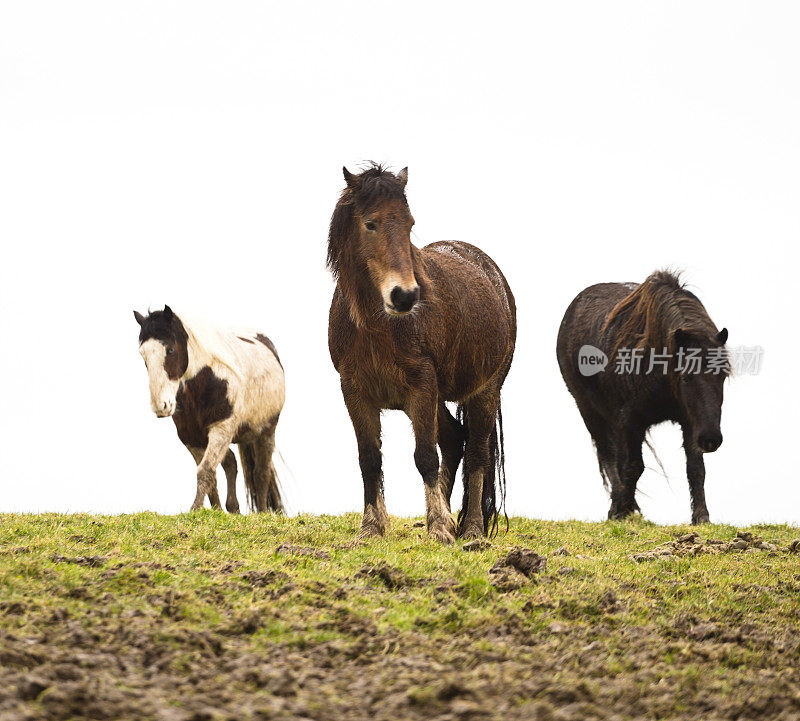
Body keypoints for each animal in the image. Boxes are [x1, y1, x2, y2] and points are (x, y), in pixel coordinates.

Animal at [328, 165, 516, 540]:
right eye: (370, 223)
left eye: (409, 223)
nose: (405, 296)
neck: (376, 327)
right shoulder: (354, 390)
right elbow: (369, 458)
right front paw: (371, 528)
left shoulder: (422, 385)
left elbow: (426, 456)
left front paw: (440, 528)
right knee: (455, 440)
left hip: (484, 392)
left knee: (476, 453)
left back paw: (471, 529)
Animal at [560, 270, 728, 524]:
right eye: (686, 377)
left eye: (723, 376)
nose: (711, 440)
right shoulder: (630, 421)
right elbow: (632, 466)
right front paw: (621, 510)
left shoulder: (690, 421)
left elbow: (696, 468)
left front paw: (701, 517)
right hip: (588, 410)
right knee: (608, 456)